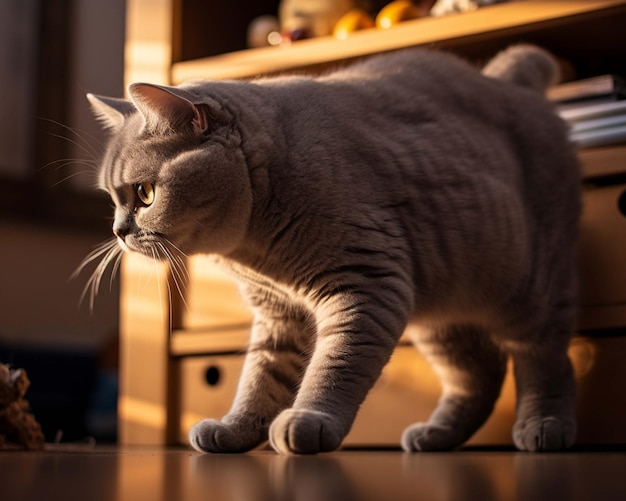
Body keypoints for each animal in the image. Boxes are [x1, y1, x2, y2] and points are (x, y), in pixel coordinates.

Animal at [85, 46, 576, 454]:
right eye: (112, 199)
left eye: (145, 194)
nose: (118, 230)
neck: (257, 254)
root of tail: (504, 79)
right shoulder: (279, 315)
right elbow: (260, 377)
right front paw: (235, 429)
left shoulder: (364, 286)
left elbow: (334, 365)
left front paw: (308, 420)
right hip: (440, 317)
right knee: (481, 374)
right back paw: (435, 436)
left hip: (531, 291)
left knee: (545, 359)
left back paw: (544, 426)